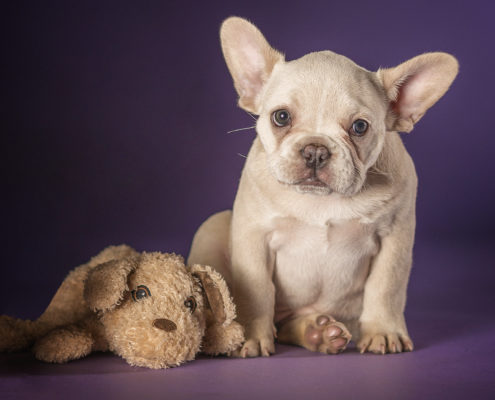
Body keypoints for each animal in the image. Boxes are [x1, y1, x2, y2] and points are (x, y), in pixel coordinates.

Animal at [189, 17, 458, 358]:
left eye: (360, 127)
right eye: (281, 117)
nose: (315, 149)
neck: (322, 201)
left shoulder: (394, 238)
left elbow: (386, 286)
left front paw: (383, 331)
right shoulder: (254, 236)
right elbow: (255, 289)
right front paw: (248, 334)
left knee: (289, 326)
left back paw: (318, 332)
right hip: (212, 228)